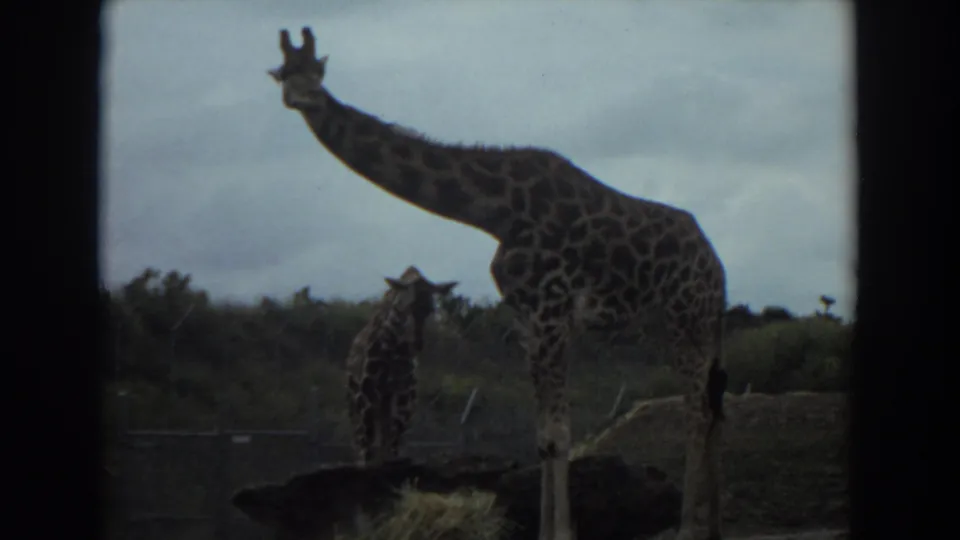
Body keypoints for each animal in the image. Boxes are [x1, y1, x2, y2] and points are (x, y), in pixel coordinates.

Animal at [345, 265, 458, 467]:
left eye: (430, 309)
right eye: (406, 306)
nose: (417, 344)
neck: (393, 345)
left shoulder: (403, 392)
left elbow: (394, 441)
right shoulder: (367, 390)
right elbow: (368, 445)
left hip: (386, 403)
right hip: (355, 401)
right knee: (361, 440)